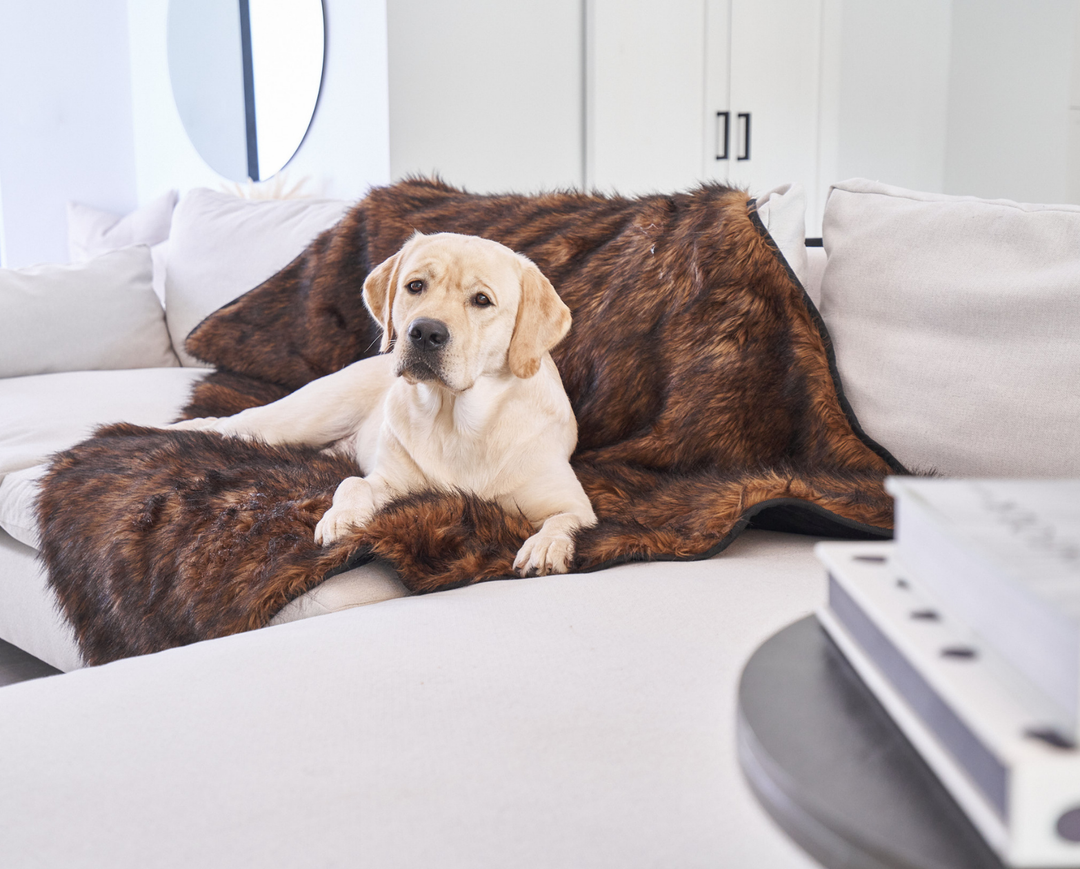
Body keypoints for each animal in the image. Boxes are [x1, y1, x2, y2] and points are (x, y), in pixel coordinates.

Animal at [174, 232, 600, 574]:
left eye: (482, 300)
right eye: (415, 286)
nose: (425, 331)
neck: (458, 421)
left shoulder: (575, 504)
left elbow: (564, 521)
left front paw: (545, 546)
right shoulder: (390, 482)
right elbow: (351, 484)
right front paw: (341, 519)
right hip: (294, 421)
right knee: (226, 423)